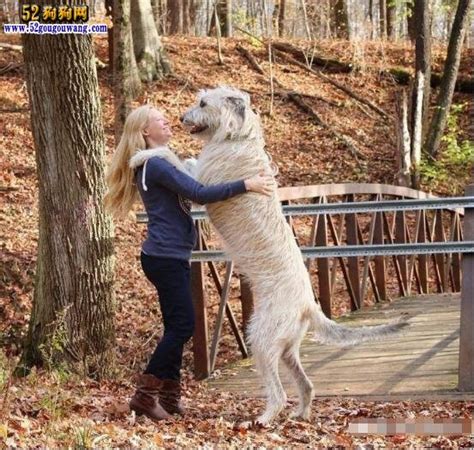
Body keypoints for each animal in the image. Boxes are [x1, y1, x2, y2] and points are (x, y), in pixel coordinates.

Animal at [180, 86, 410, 428]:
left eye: (203, 103)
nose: (182, 118)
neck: (237, 137)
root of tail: (308, 305)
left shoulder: (205, 183)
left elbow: (183, 165)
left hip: (262, 337)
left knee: (277, 392)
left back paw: (263, 418)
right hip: (287, 347)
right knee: (307, 383)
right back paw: (301, 412)